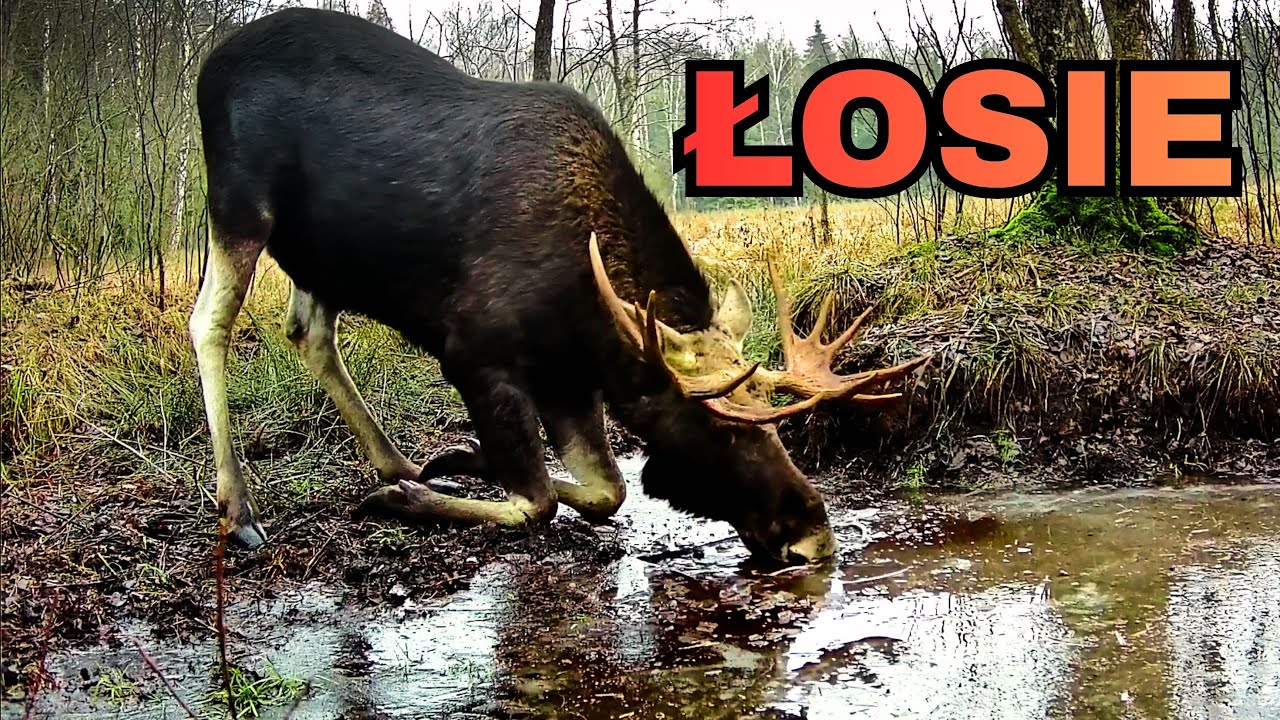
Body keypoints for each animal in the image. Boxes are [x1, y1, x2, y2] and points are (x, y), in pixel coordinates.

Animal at [188, 7, 928, 566]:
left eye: (767, 413)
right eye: (717, 426)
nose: (813, 535)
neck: (582, 310)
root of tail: (207, 63)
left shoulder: (569, 377)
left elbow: (607, 491)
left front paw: (458, 457)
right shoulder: (474, 352)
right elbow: (536, 500)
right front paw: (410, 500)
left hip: (321, 256)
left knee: (308, 331)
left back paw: (396, 462)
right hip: (238, 203)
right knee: (210, 321)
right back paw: (240, 508)